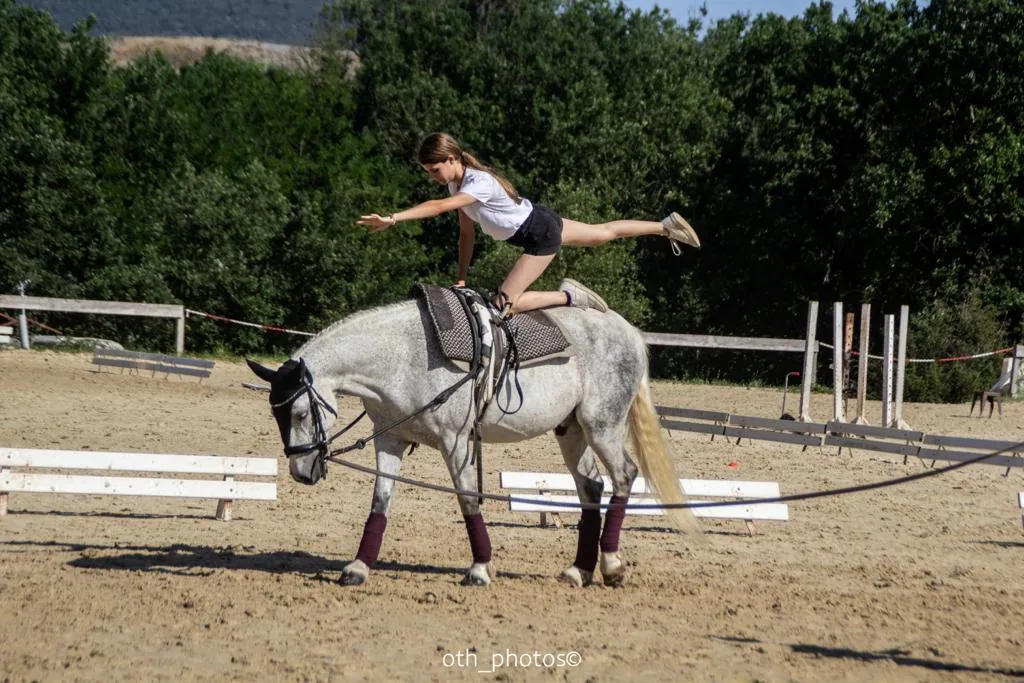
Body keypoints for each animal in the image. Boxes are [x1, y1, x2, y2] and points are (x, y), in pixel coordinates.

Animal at [247, 295, 699, 587]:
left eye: (301, 414)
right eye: (276, 416)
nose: (301, 471)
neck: (402, 360)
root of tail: (629, 332)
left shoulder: (457, 442)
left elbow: (468, 501)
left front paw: (480, 569)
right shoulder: (389, 440)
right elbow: (380, 502)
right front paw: (357, 568)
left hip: (601, 424)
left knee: (623, 476)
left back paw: (611, 566)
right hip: (571, 430)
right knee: (591, 486)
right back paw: (579, 571)